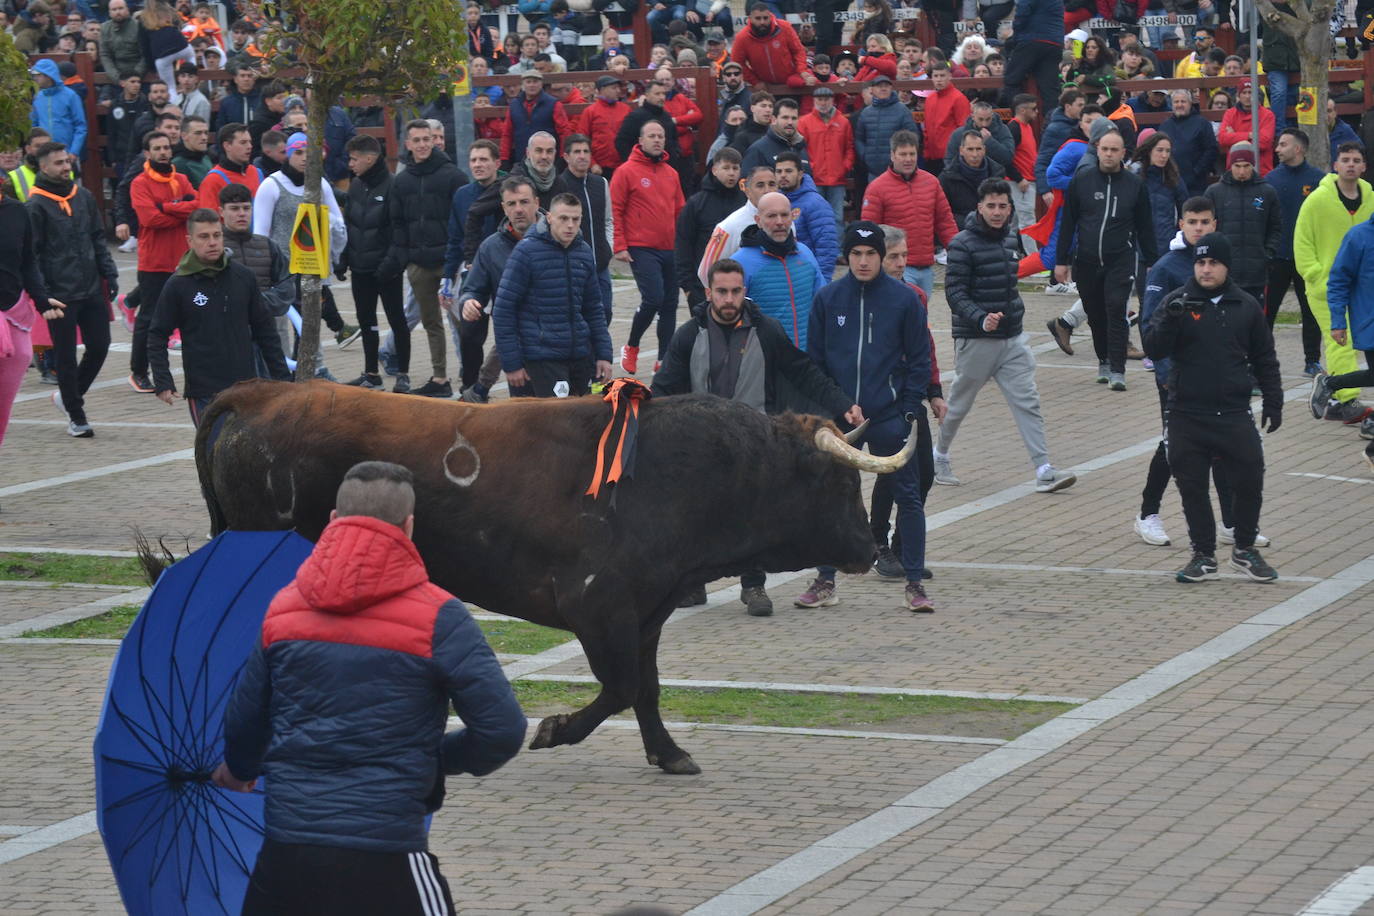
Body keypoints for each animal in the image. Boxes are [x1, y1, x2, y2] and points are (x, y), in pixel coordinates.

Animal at [193, 379, 912, 774]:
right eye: (838, 483)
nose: (869, 548)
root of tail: (263, 392)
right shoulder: (599, 608)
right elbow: (620, 688)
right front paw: (553, 730)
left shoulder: (645, 613)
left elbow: (646, 688)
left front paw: (669, 753)